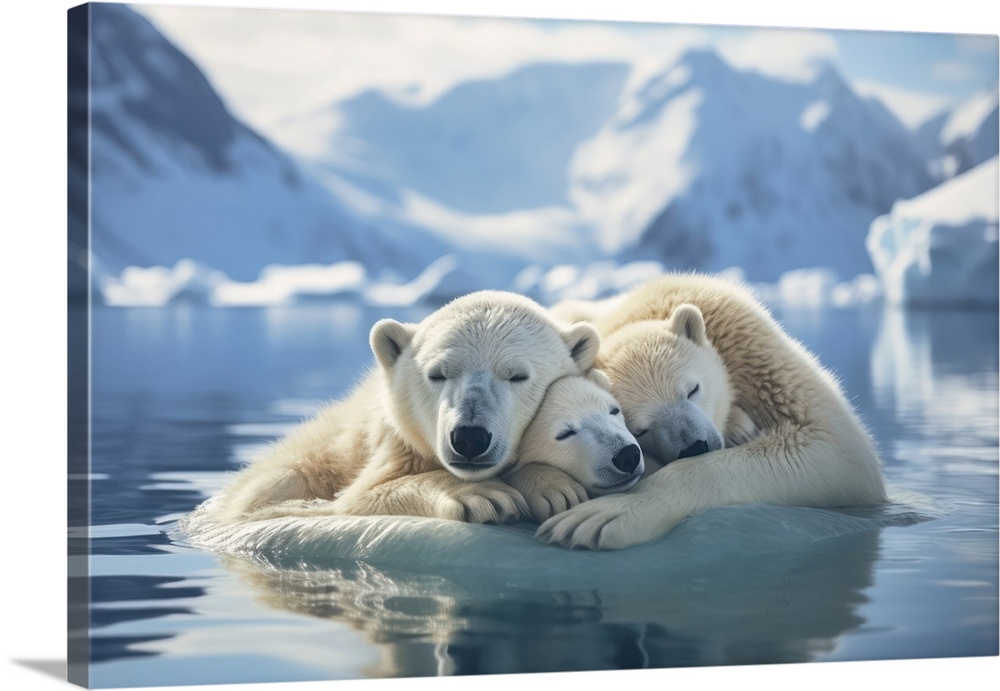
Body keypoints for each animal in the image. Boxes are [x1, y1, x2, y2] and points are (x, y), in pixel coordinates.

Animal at [536, 276, 888, 552]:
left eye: (692, 389)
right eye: (639, 428)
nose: (695, 446)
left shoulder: (748, 343)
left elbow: (832, 445)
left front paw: (606, 514)